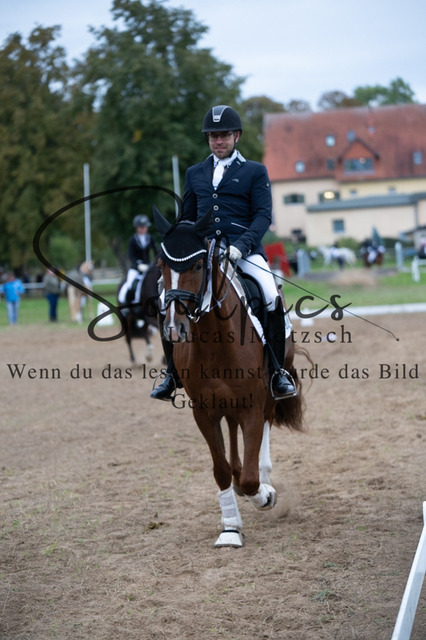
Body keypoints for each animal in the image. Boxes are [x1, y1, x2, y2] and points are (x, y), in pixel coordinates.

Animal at [153, 206, 310, 548]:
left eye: (198, 264)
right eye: (161, 265)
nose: (174, 328)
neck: (214, 342)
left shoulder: (251, 404)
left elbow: (251, 478)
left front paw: (264, 495)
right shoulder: (203, 411)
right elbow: (221, 470)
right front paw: (230, 528)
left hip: (267, 394)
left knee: (264, 425)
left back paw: (265, 478)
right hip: (225, 403)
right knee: (234, 433)